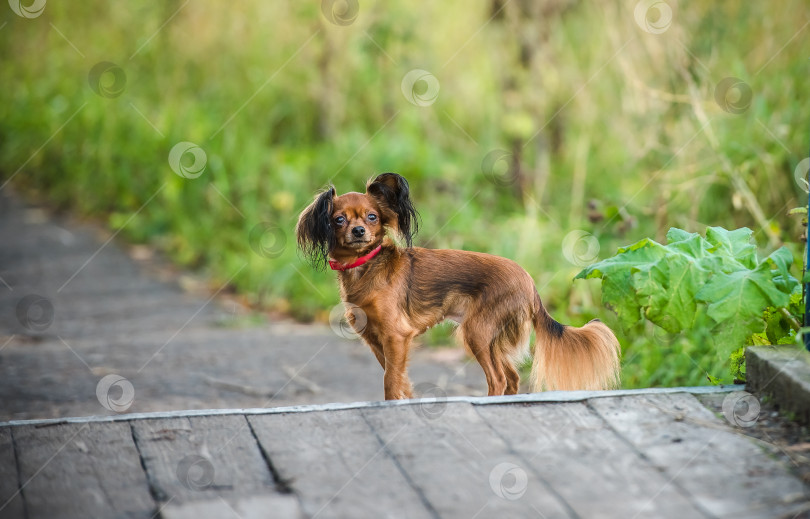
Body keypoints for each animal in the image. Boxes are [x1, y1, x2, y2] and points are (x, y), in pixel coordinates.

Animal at [296, 173, 620, 400]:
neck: (365, 266)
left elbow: (390, 381)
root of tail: (529, 283)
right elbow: (399, 379)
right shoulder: (377, 340)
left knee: (498, 378)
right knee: (513, 377)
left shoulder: (396, 336)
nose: (359, 231)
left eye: (372, 217)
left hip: (477, 332)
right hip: (491, 337)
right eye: (339, 220)